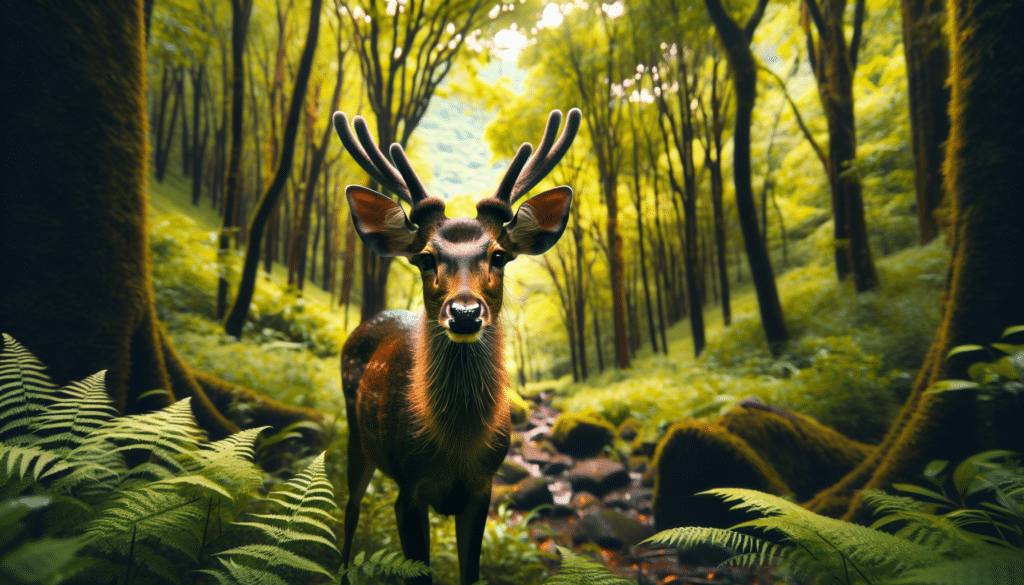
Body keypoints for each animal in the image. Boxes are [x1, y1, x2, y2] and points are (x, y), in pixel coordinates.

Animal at [333, 108, 581, 585]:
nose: (465, 312)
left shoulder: (482, 488)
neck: (455, 450)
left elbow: (471, 571)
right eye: (425, 258)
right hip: (357, 437)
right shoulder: (409, 488)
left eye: (499, 255)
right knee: (348, 513)